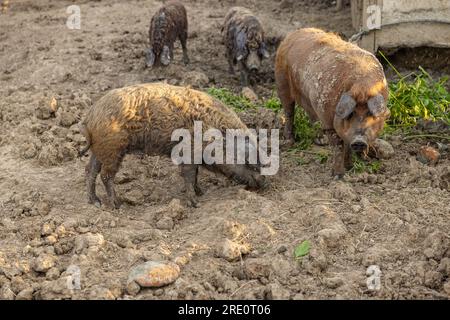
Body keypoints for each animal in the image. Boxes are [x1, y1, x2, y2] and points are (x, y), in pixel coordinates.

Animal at [79, 83, 268, 208]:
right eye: (250, 163)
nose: (265, 182)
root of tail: (90, 117)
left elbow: (195, 175)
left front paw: (201, 193)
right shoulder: (189, 152)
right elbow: (189, 176)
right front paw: (196, 203)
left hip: (100, 150)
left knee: (90, 170)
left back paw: (95, 202)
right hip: (113, 149)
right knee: (105, 175)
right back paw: (117, 204)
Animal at [274, 28, 390, 178]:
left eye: (371, 114)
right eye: (350, 114)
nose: (359, 141)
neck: (362, 89)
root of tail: (292, 34)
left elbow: (347, 144)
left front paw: (350, 167)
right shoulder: (328, 120)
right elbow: (338, 145)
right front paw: (338, 176)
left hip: (309, 99)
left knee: (312, 116)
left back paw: (321, 141)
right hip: (281, 81)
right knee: (289, 112)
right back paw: (289, 142)